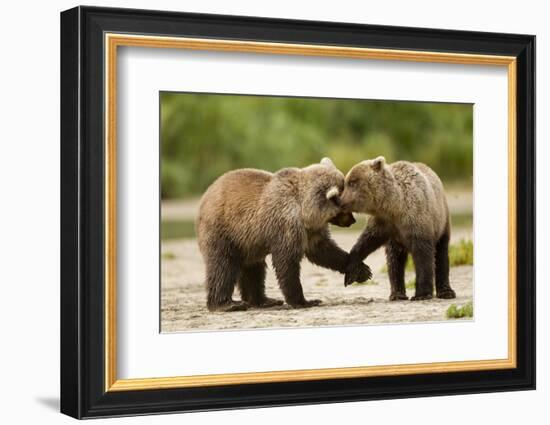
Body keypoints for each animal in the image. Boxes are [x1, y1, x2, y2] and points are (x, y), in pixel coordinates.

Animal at [196, 157, 374, 310]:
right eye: (345, 207)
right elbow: (286, 261)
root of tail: (204, 197)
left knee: (254, 269)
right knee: (223, 266)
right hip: (224, 231)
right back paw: (227, 304)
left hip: (248, 242)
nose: (352, 220)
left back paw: (264, 300)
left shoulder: (312, 230)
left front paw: (361, 270)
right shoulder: (286, 224)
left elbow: (324, 251)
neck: (305, 211)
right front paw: (305, 301)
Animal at [342, 157, 460, 302]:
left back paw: (446, 292)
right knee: (395, 261)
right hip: (396, 241)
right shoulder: (383, 223)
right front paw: (351, 271)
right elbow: (366, 241)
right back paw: (397, 294)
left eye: (352, 182)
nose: (340, 200)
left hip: (441, 221)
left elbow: (423, 256)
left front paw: (421, 294)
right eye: (347, 182)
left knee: (441, 254)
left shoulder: (416, 219)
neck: (394, 206)